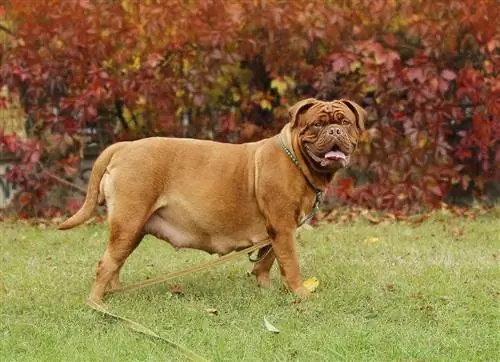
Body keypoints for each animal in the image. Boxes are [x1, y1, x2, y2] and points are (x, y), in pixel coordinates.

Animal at [58, 97, 366, 302]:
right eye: (317, 125)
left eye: (345, 122)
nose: (335, 131)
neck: (297, 159)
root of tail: (124, 146)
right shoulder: (283, 227)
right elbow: (290, 264)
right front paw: (301, 296)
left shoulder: (275, 231)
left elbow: (265, 261)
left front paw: (265, 290)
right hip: (129, 220)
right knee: (106, 264)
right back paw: (97, 304)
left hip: (131, 228)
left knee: (115, 262)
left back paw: (116, 293)